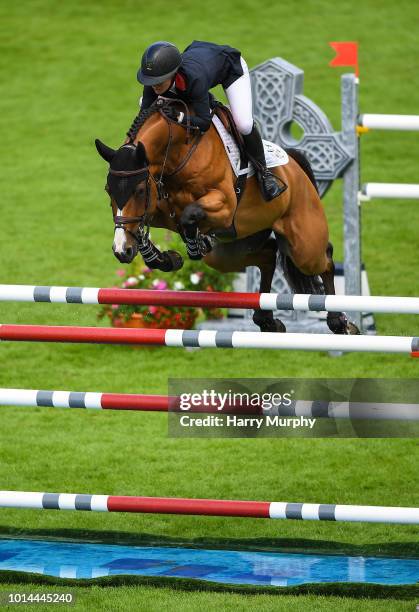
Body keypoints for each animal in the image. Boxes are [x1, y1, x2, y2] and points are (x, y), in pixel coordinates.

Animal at [97, 98, 360, 334]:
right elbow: (142, 225)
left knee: (325, 259)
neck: (178, 151)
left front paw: (194, 245)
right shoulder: (160, 209)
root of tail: (296, 166)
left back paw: (339, 322)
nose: (121, 251)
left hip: (303, 247)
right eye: (108, 190)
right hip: (230, 252)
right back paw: (267, 320)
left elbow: (189, 215)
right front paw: (166, 258)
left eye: (140, 190)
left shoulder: (223, 206)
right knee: (268, 255)